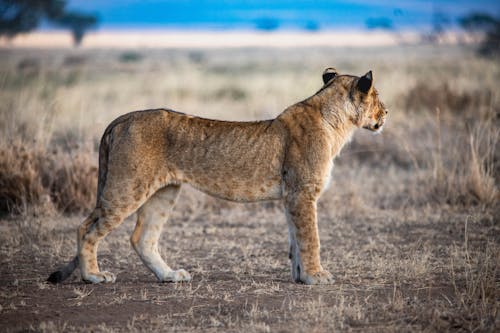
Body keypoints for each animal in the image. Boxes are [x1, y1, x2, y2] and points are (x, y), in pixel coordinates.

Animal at [47, 67, 386, 282]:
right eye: (378, 97)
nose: (387, 113)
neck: (337, 124)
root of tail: (120, 119)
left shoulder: (292, 196)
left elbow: (296, 240)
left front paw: (302, 277)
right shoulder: (303, 192)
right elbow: (310, 238)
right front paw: (317, 277)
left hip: (164, 192)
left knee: (142, 238)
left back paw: (170, 276)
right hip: (127, 187)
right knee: (86, 228)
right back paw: (93, 276)